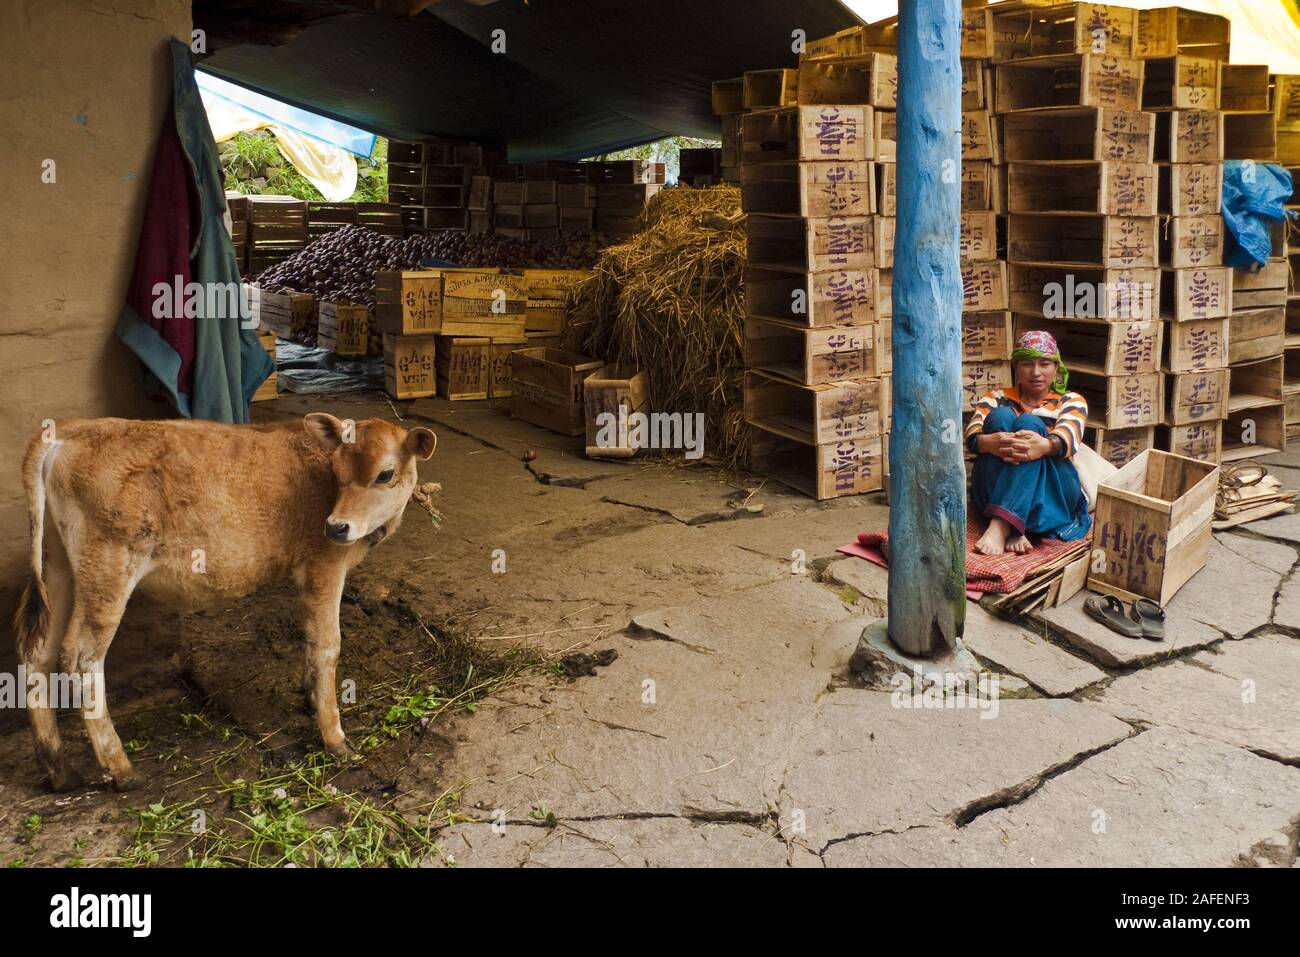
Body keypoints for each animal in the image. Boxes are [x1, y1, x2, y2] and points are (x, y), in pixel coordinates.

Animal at [11, 413, 436, 790]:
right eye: (337, 469)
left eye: (385, 474)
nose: (336, 526)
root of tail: (69, 429)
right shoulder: (325, 564)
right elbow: (327, 645)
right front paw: (335, 738)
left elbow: (309, 637)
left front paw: (310, 695)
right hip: (108, 567)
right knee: (81, 656)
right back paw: (120, 768)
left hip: (59, 565)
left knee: (38, 652)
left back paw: (58, 770)